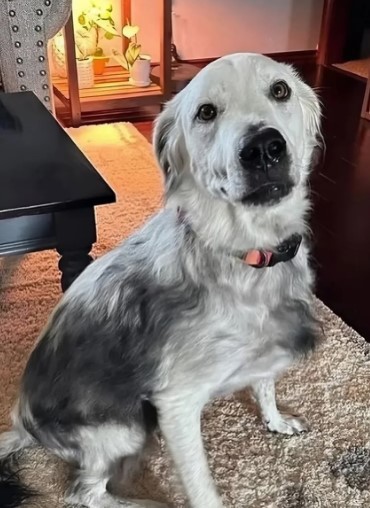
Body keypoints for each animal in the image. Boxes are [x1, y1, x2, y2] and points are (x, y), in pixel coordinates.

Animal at [0, 52, 322, 508]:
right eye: (206, 112)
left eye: (281, 90)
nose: (263, 148)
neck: (245, 254)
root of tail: (23, 425)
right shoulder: (177, 406)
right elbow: (203, 489)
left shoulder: (266, 354)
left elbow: (265, 387)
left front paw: (276, 421)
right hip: (127, 429)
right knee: (84, 494)